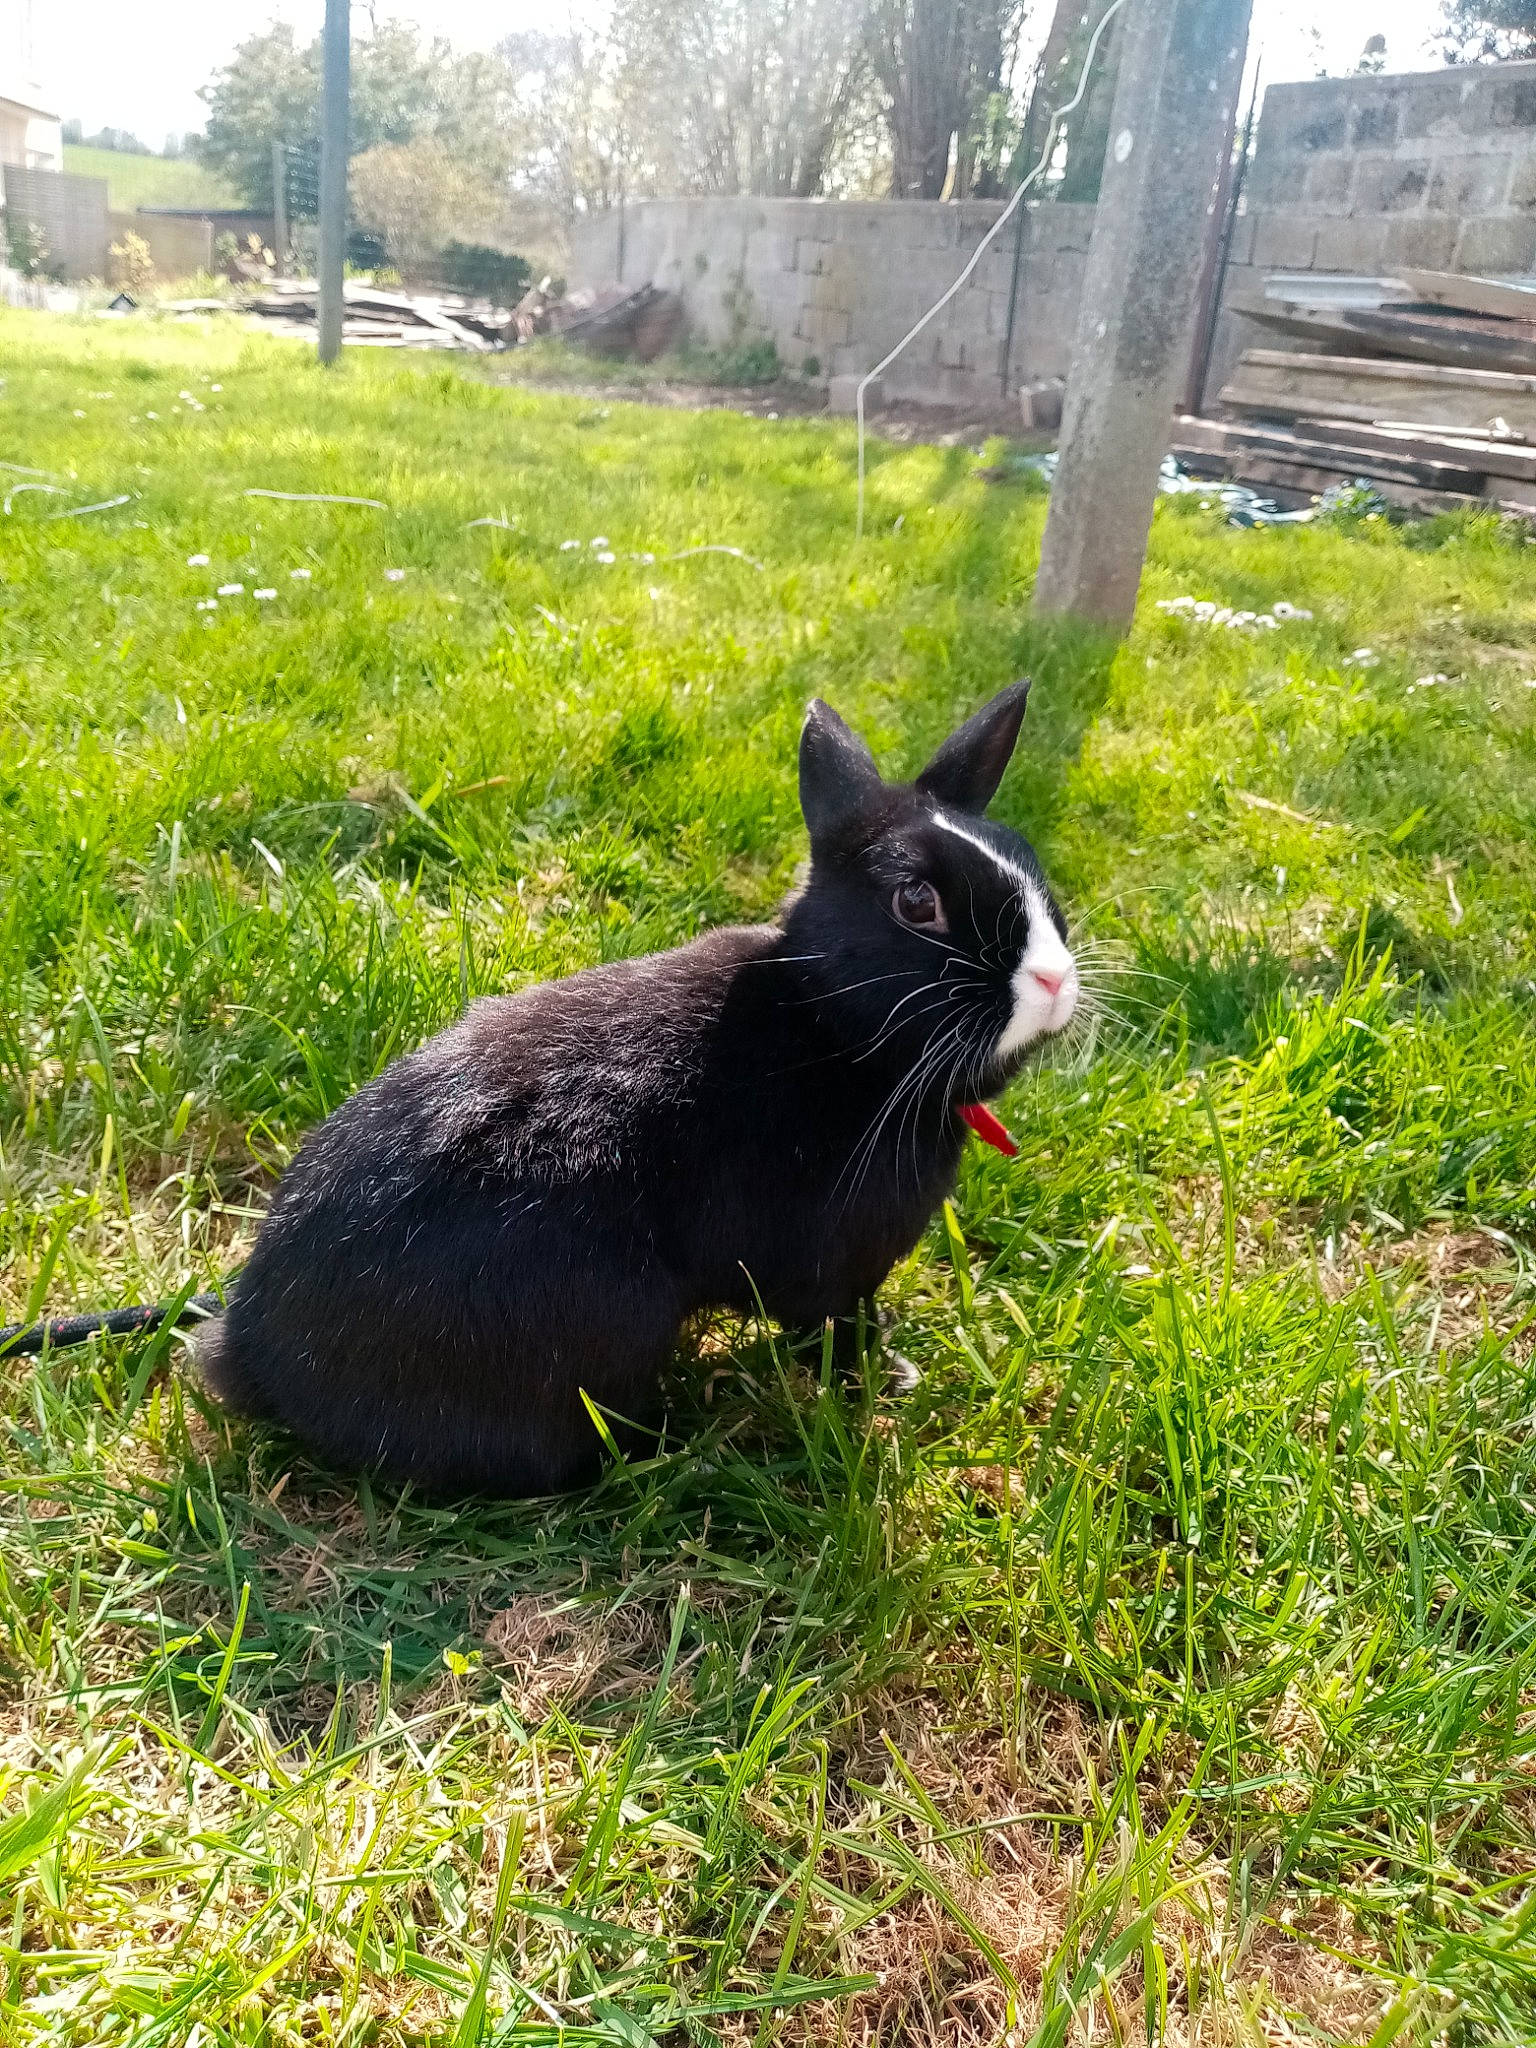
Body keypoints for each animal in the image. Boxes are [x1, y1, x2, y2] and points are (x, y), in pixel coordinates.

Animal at [195, 682, 1077, 1495]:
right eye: (916, 901)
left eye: (1033, 867)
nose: (1055, 981)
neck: (834, 1031)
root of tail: (253, 1351)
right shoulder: (833, 1272)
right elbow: (833, 1328)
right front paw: (885, 1378)